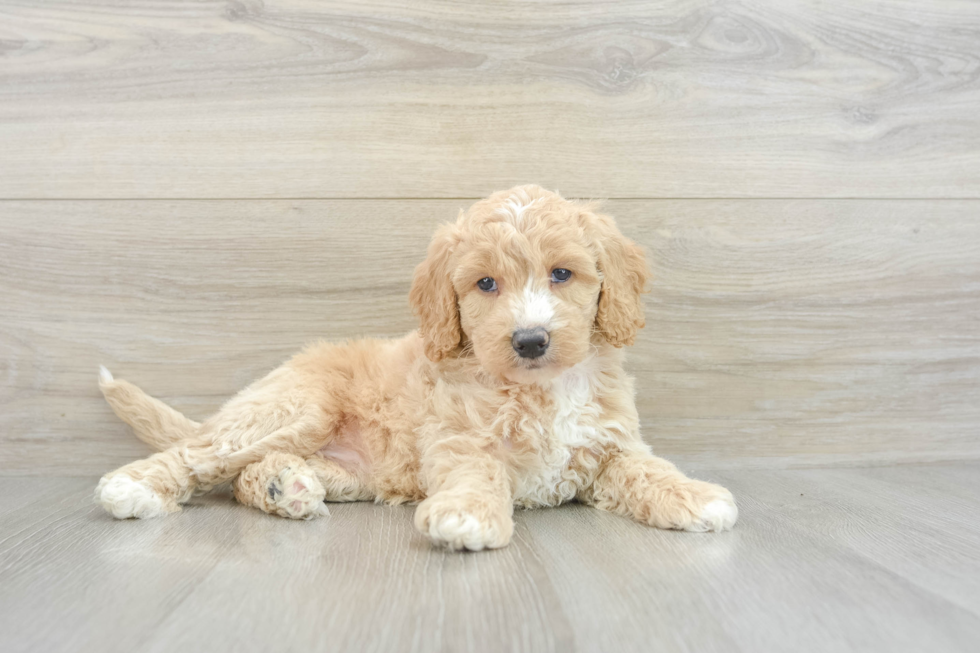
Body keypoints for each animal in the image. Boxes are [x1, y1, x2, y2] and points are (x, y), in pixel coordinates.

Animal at [97, 185, 736, 552]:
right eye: (486, 284)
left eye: (562, 274)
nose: (530, 340)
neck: (540, 389)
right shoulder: (460, 437)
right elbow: (477, 473)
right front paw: (468, 516)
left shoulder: (609, 445)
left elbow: (647, 470)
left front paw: (694, 496)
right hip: (296, 406)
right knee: (201, 456)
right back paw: (134, 486)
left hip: (349, 469)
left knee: (246, 474)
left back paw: (285, 487)